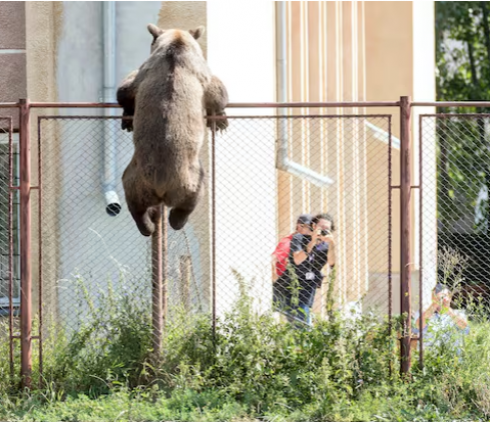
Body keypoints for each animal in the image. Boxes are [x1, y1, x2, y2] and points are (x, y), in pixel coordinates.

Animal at [117, 24, 230, 236]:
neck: (176, 44)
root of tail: (160, 187)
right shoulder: (198, 72)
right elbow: (217, 89)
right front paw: (221, 120)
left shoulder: (145, 75)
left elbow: (125, 92)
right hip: (186, 178)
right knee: (194, 194)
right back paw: (175, 220)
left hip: (137, 177)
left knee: (134, 201)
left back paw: (147, 225)